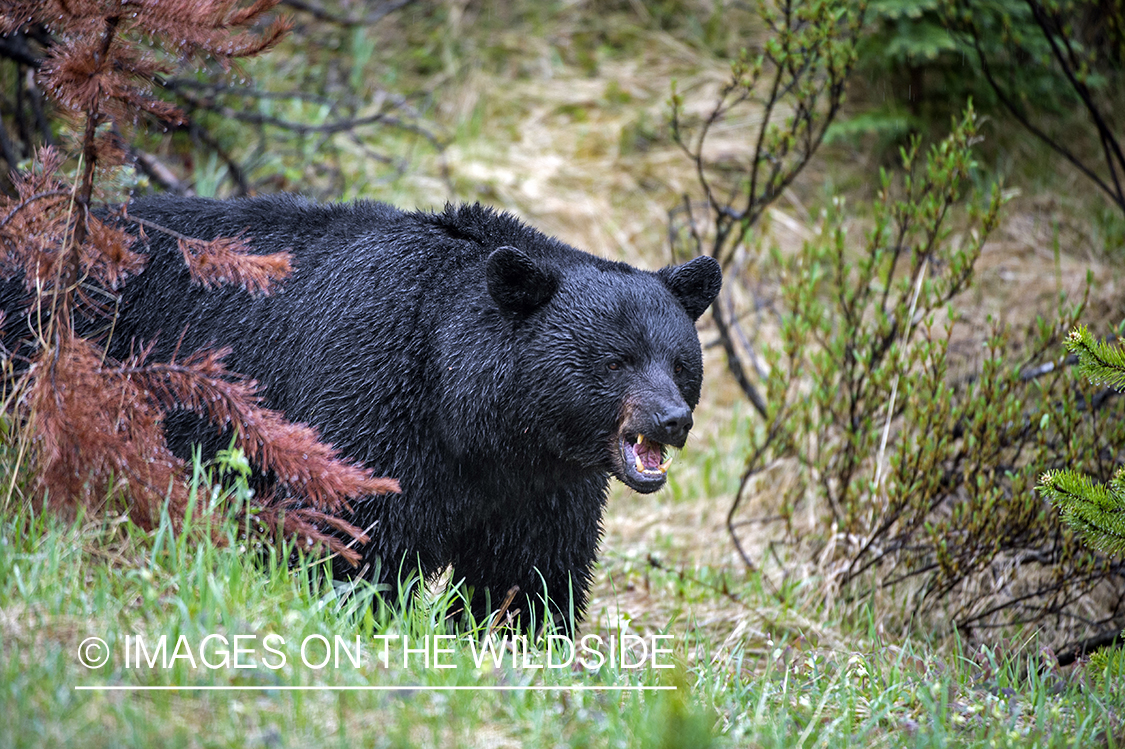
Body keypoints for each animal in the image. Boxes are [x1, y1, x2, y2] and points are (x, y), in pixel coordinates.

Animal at [26, 195, 720, 625]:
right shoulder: (371, 393)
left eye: (680, 362)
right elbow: (353, 532)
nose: (671, 419)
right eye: (617, 360)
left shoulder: (546, 481)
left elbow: (529, 572)